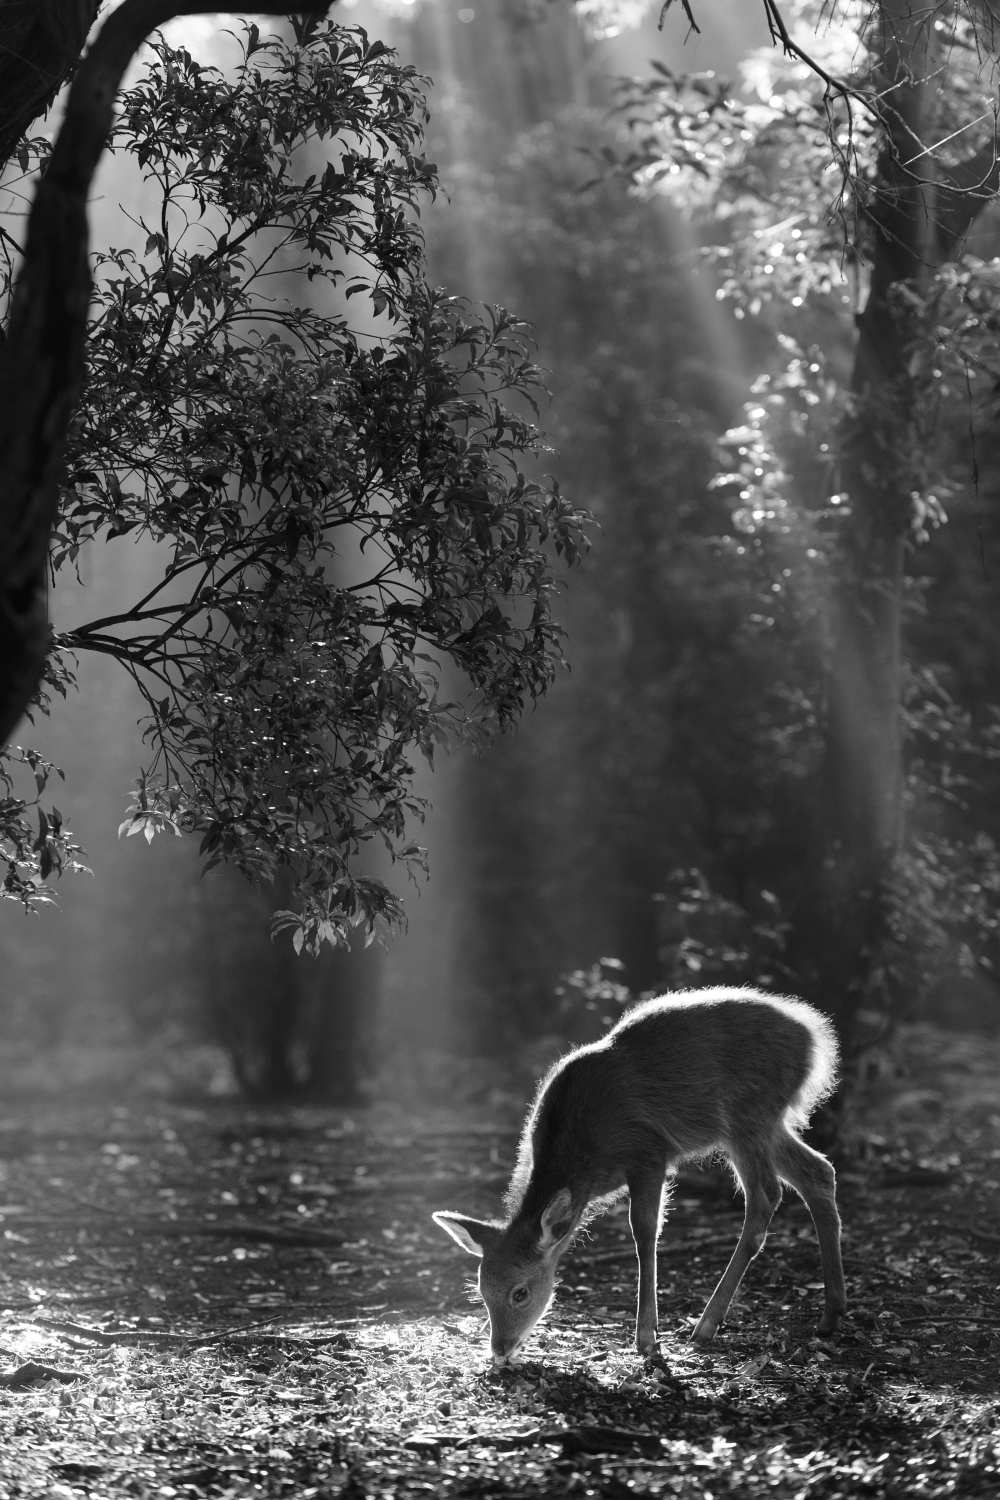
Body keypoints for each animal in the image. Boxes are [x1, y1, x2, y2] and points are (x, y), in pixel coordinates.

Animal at [434, 990, 851, 1368]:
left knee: (766, 1195)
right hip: (767, 1122)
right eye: (481, 1290)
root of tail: (816, 1036)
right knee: (818, 1172)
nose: (500, 1350)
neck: (584, 1160)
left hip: (748, 1116)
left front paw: (647, 1337)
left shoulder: (648, 1153)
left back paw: (706, 1324)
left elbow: (645, 1231)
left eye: (520, 1293)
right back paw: (831, 1313)